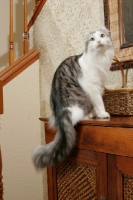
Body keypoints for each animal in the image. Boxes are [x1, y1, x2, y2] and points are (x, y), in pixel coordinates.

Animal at [32, 26, 114, 169]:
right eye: (92, 39)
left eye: (102, 36)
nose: (98, 41)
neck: (100, 58)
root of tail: (62, 111)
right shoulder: (93, 87)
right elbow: (99, 103)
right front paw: (102, 114)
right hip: (82, 101)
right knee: (80, 117)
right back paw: (90, 116)